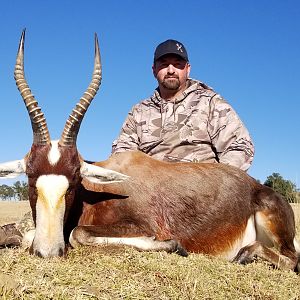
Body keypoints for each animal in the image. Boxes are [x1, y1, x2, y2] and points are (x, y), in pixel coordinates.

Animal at [0, 31, 300, 272]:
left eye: (74, 181)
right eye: (30, 179)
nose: (47, 252)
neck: (96, 192)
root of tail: (258, 188)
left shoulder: (141, 225)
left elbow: (77, 233)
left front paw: (173, 245)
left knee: (292, 259)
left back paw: (246, 254)